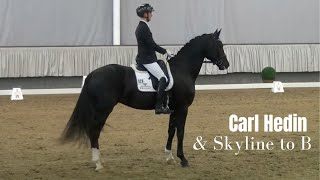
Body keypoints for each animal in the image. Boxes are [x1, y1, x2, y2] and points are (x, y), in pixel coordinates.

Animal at [61, 29, 229, 170]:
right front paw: (183, 159)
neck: (182, 69)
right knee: (94, 130)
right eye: (219, 45)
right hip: (103, 109)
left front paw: (169, 157)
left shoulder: (173, 108)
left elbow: (171, 130)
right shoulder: (183, 107)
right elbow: (180, 132)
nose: (226, 64)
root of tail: (92, 74)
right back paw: (98, 163)